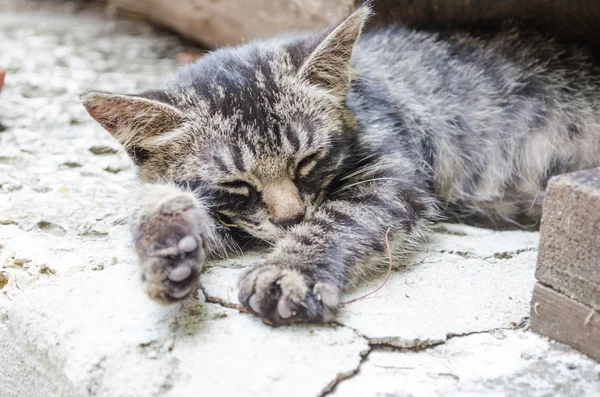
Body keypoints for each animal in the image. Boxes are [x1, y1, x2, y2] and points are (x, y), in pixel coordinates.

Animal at [81, 4, 600, 324]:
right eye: (237, 183)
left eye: (308, 159)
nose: (291, 217)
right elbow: (157, 198)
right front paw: (166, 248)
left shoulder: (392, 174)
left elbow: (336, 218)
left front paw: (289, 271)